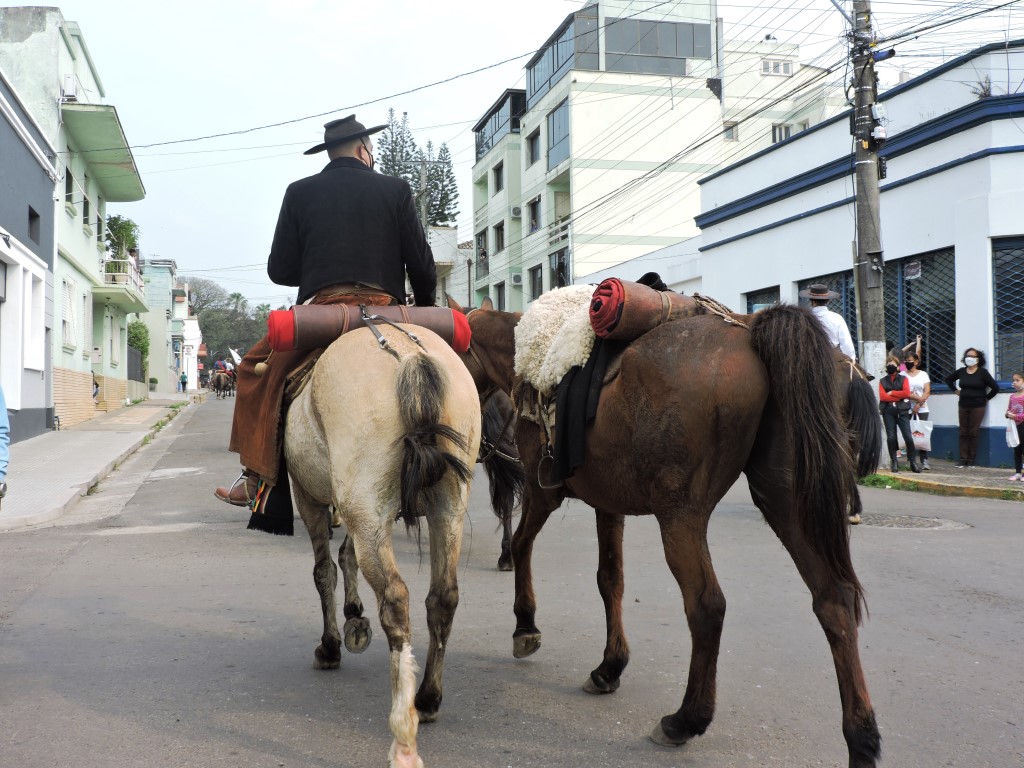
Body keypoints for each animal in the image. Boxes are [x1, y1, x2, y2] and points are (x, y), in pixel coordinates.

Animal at [284, 325, 479, 768]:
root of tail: (408, 356)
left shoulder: (309, 497)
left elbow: (324, 570)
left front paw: (332, 644)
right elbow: (345, 556)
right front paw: (354, 617)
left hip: (365, 507)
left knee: (394, 598)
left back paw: (404, 735)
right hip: (447, 504)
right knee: (443, 597)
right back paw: (427, 699)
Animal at [452, 296, 884, 768]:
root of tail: (751, 330)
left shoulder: (541, 488)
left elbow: (522, 545)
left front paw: (525, 626)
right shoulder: (608, 503)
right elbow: (610, 579)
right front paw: (609, 667)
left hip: (681, 516)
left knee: (708, 605)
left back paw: (686, 719)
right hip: (786, 500)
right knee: (834, 599)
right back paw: (861, 738)